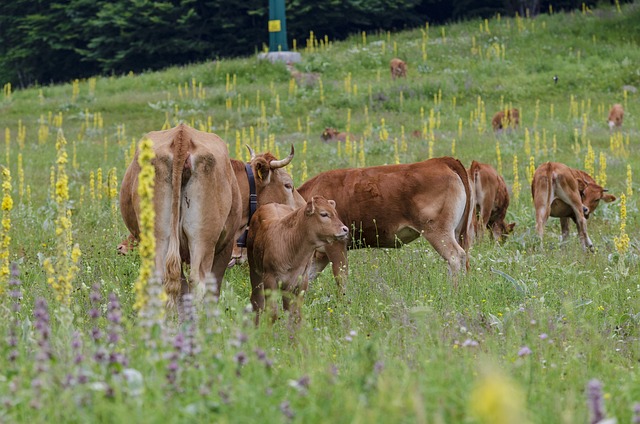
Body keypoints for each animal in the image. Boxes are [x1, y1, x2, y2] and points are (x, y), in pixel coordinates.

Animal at [119, 124, 241, 306]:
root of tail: (182, 135)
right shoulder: (225, 247)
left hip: (159, 236)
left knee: (163, 280)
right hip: (203, 238)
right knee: (198, 282)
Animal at [246, 196, 348, 324]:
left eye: (335, 212)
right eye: (324, 214)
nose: (345, 229)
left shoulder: (301, 281)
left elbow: (296, 314)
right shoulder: (270, 279)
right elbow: (272, 314)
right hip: (254, 270)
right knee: (257, 302)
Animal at [298, 156, 472, 288]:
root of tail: (440, 161)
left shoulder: (336, 244)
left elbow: (341, 277)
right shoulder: (319, 254)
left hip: (437, 230)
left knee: (455, 256)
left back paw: (453, 291)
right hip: (456, 231)